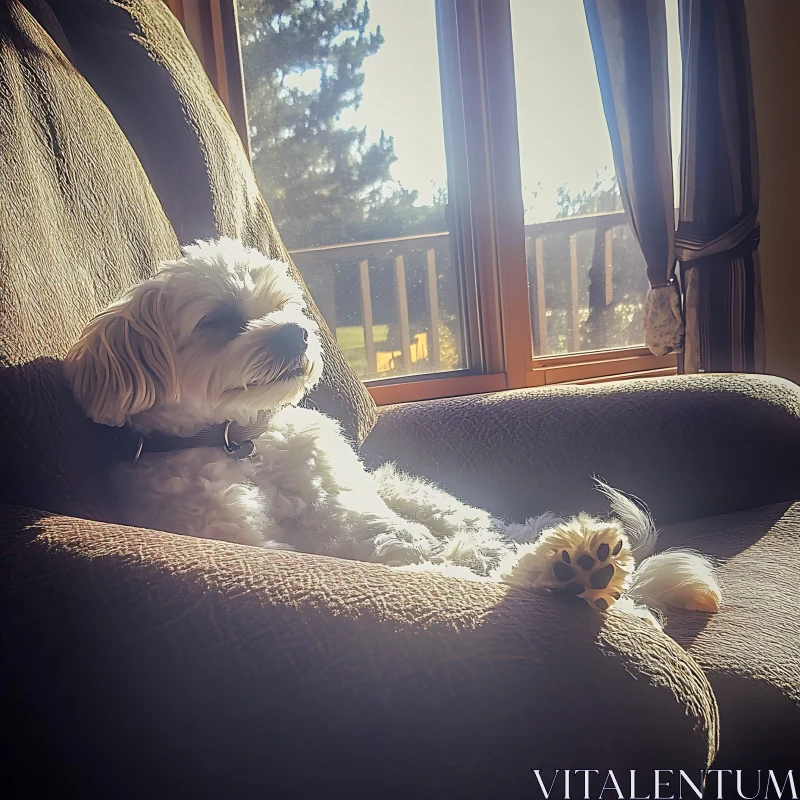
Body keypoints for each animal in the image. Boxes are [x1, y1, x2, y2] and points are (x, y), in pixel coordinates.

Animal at [65, 238, 720, 624]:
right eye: (219, 320)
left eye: (285, 306)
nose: (296, 332)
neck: (242, 442)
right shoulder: (264, 549)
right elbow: (437, 572)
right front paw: (549, 575)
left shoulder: (356, 515)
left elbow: (404, 541)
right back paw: (575, 571)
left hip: (423, 498)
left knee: (474, 531)